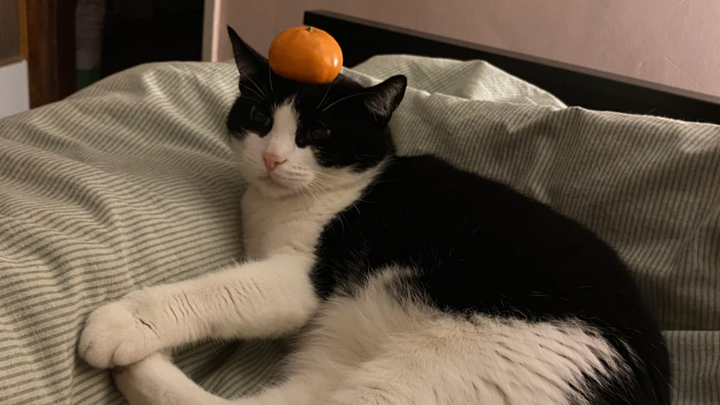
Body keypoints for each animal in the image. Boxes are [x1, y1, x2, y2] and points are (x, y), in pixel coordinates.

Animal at [78, 27, 671, 405]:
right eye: (261, 117)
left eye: (316, 133)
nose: (272, 159)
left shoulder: (298, 279)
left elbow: (219, 291)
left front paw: (122, 322)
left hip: (444, 370)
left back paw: (135, 362)